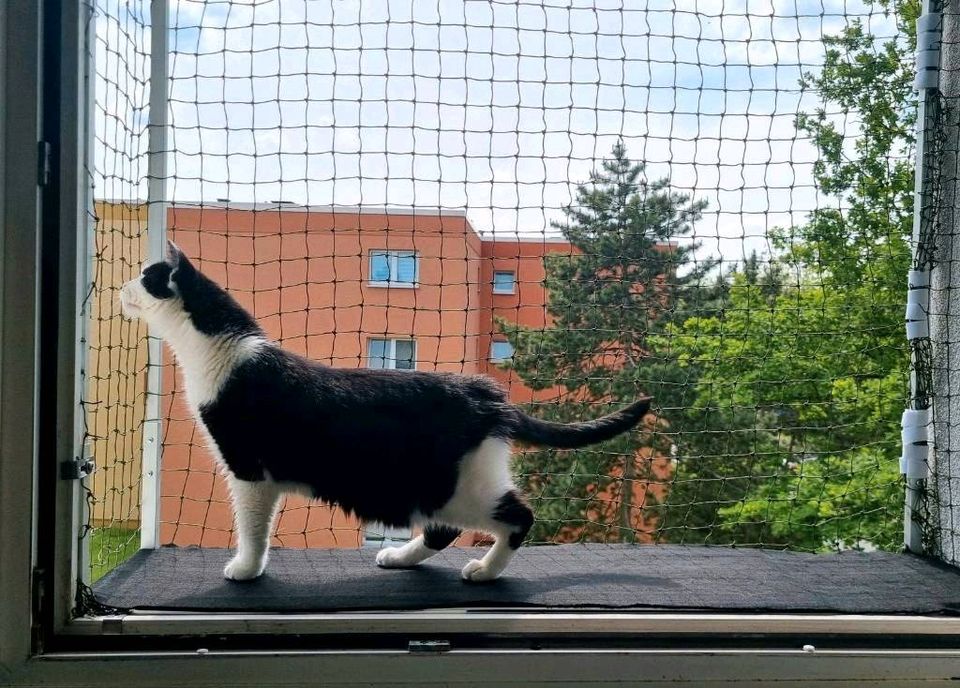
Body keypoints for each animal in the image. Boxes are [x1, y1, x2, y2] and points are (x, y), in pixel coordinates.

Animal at [116, 242, 648, 580]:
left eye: (145, 278)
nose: (120, 287)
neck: (221, 349)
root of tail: (488, 396)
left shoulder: (249, 471)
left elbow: (252, 529)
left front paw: (246, 570)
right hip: (440, 490)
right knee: (443, 529)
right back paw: (401, 558)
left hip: (457, 486)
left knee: (517, 516)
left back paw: (485, 570)